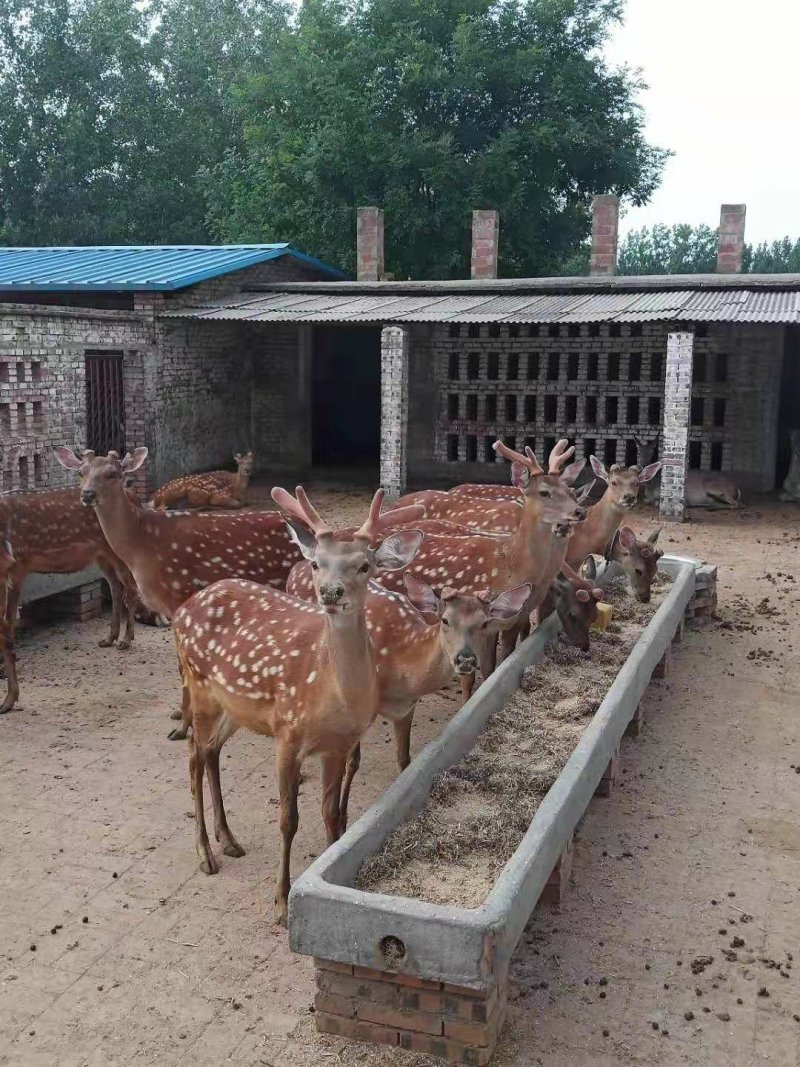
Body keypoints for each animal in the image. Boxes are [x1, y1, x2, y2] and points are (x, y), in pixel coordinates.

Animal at [171, 486, 425, 924]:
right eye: (315, 562)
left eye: (364, 565)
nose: (330, 592)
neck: (333, 693)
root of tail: (183, 608)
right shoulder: (287, 734)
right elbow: (288, 820)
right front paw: (280, 901)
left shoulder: (337, 746)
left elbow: (329, 813)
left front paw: (327, 862)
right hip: (198, 686)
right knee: (192, 756)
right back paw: (206, 853)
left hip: (235, 707)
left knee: (210, 751)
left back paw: (229, 839)